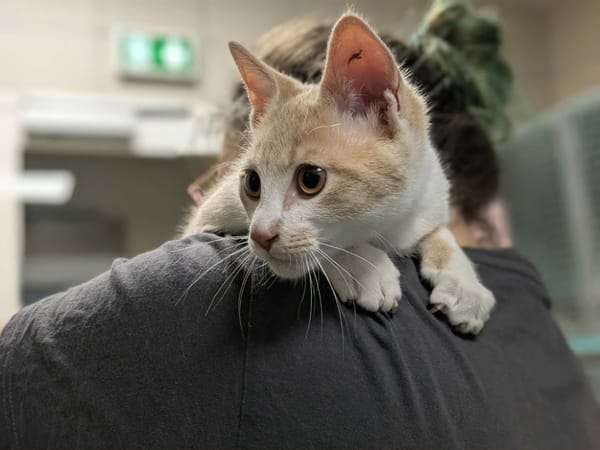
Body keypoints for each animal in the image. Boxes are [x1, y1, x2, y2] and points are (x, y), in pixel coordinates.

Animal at [182, 12, 495, 334]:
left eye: (310, 179)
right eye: (252, 182)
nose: (260, 236)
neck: (387, 228)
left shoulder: (429, 196)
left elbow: (441, 231)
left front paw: (464, 284)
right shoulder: (206, 216)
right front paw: (365, 266)